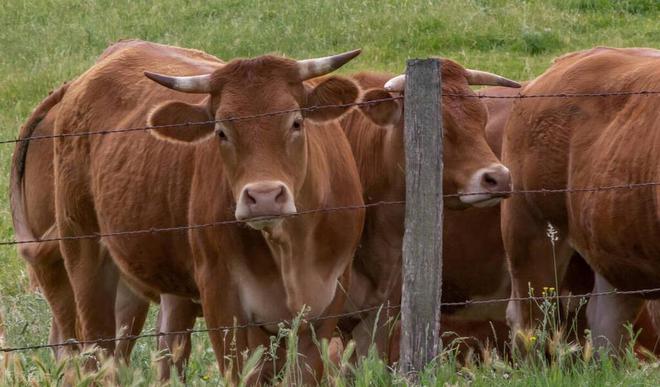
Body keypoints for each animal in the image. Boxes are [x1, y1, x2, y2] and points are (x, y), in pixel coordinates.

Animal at [52, 41, 366, 384]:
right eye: (221, 132)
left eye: (296, 122)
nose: (264, 197)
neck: (289, 250)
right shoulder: (223, 301)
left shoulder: (325, 305)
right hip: (83, 255)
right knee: (97, 352)